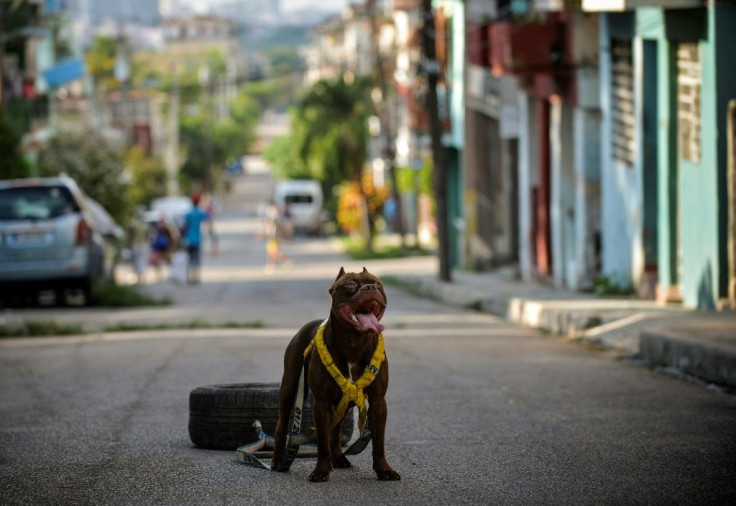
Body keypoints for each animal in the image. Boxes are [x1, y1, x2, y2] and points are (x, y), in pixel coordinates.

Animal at [272, 266, 400, 480]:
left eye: (378, 283)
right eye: (350, 284)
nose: (370, 287)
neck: (355, 341)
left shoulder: (378, 401)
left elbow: (378, 441)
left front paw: (384, 470)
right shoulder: (322, 402)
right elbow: (322, 441)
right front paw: (321, 470)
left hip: (345, 402)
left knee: (336, 430)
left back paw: (339, 458)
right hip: (289, 387)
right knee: (282, 425)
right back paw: (276, 462)